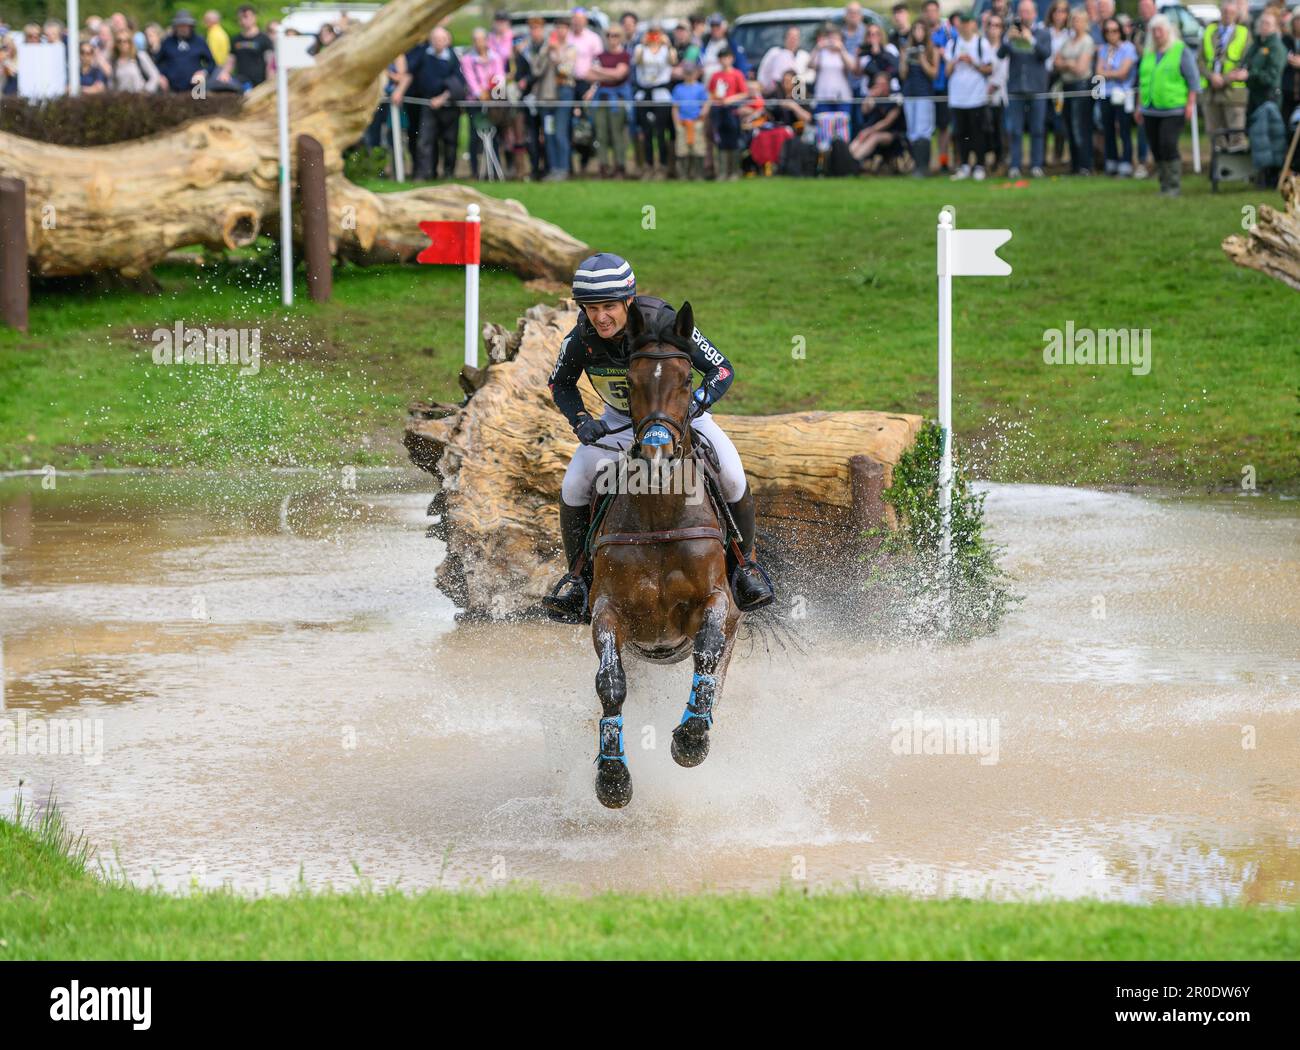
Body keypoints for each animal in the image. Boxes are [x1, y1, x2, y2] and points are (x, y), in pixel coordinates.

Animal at [590, 298, 743, 805]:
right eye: (630, 383)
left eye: (684, 381)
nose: (656, 457)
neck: (659, 509)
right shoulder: (608, 609)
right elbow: (610, 681)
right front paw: (612, 776)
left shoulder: (717, 601)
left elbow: (708, 652)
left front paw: (691, 740)